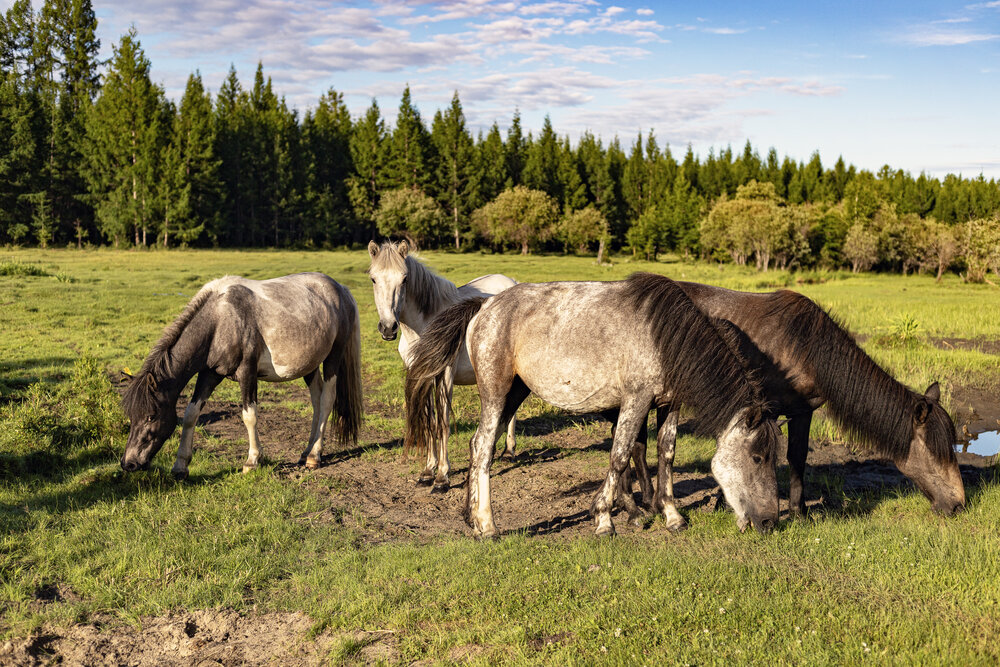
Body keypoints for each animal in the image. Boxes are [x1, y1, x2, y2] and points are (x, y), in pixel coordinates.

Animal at [120, 272, 363, 478]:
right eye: (132, 415)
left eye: (151, 416)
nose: (128, 463)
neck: (219, 320)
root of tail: (341, 289)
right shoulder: (209, 374)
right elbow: (190, 414)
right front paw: (180, 465)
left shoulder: (247, 373)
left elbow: (249, 415)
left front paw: (252, 461)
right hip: (309, 366)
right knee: (316, 400)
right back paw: (306, 451)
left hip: (333, 358)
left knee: (326, 401)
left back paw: (314, 456)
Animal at [367, 240, 519, 493]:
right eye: (373, 279)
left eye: (404, 279)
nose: (388, 328)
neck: (425, 327)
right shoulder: (422, 375)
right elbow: (429, 423)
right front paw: (427, 472)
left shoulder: (444, 375)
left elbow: (442, 423)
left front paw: (441, 478)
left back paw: (509, 451)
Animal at [406, 273, 782, 538]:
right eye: (757, 457)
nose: (770, 522)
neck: (666, 336)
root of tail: (485, 306)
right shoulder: (636, 399)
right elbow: (620, 455)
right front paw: (604, 519)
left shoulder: (668, 403)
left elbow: (666, 453)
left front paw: (672, 515)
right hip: (496, 392)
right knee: (483, 447)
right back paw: (487, 526)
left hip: (514, 393)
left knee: (478, 444)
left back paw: (470, 517)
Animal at [627, 283, 965, 517]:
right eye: (934, 452)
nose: (960, 504)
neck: (805, 347)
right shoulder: (762, 410)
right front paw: (728, 503)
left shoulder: (803, 410)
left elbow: (797, 457)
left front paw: (800, 511)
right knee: (638, 445)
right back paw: (648, 502)